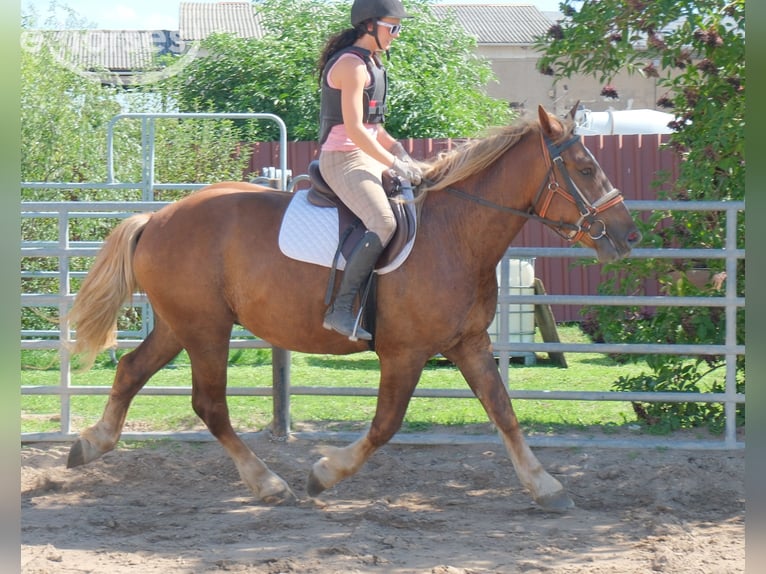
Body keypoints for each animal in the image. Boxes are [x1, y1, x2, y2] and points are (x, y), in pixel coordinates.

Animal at [66, 105, 641, 511]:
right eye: (585, 167)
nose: (628, 236)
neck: (455, 233)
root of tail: (157, 217)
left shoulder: (469, 344)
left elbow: (503, 410)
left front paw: (546, 486)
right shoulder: (404, 354)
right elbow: (386, 425)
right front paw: (323, 474)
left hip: (180, 324)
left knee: (131, 369)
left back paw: (90, 445)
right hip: (206, 330)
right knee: (210, 406)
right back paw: (268, 483)